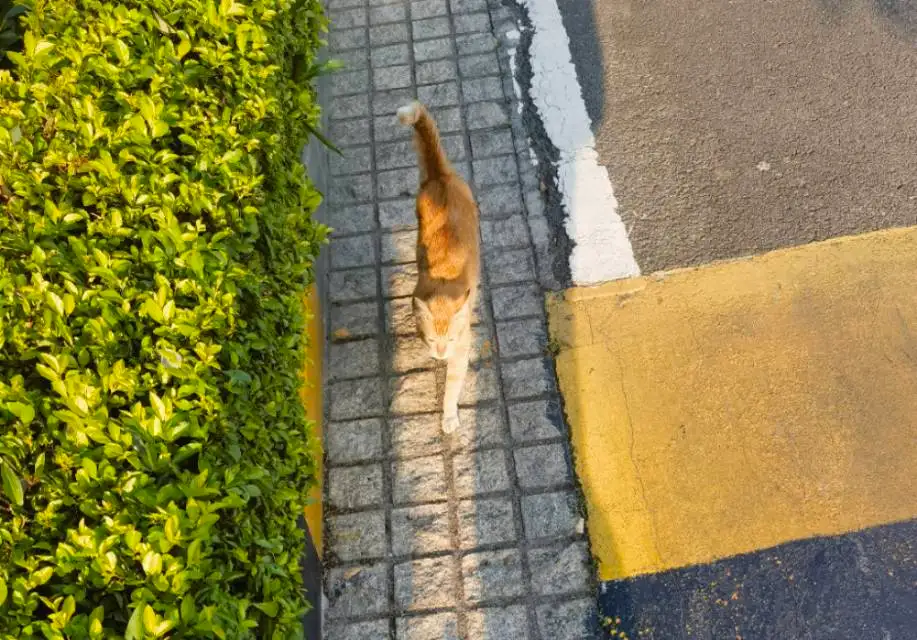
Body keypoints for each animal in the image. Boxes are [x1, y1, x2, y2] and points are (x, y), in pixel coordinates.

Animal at [396, 102, 480, 432]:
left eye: (451, 340)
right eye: (432, 339)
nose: (440, 356)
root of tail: (440, 175)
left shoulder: (462, 349)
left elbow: (453, 386)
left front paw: (449, 416)